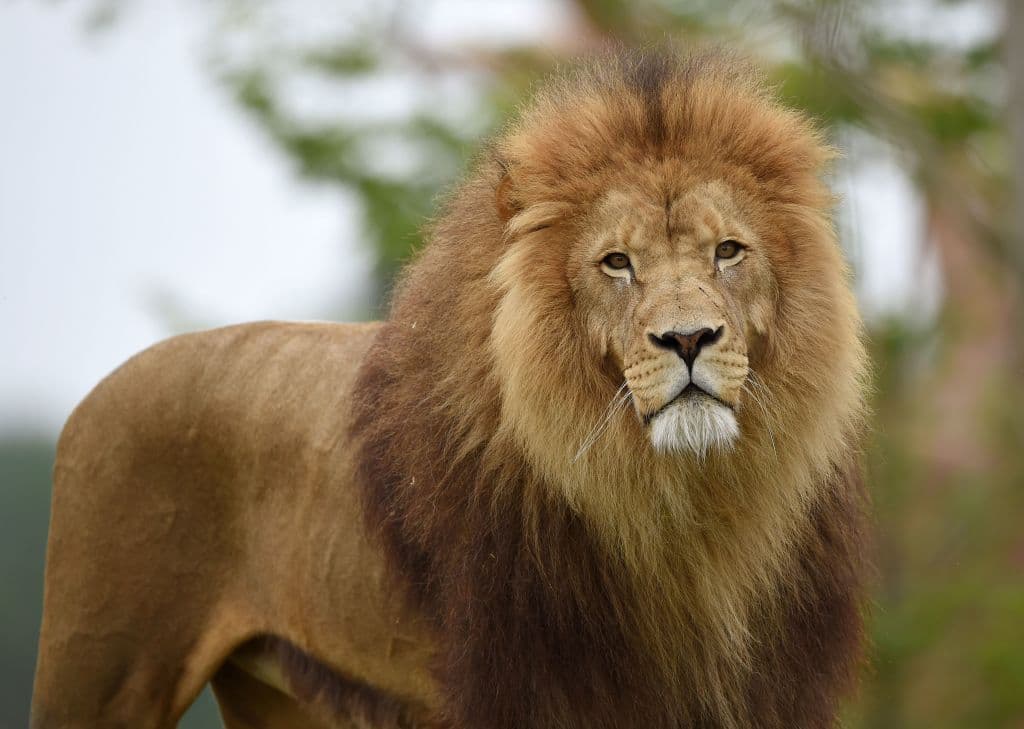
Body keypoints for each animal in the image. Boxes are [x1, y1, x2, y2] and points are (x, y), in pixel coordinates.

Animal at [32, 50, 869, 729]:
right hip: (99, 666)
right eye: (616, 262)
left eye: (728, 251)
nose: (689, 339)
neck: (684, 512)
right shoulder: (525, 686)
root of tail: (97, 393)